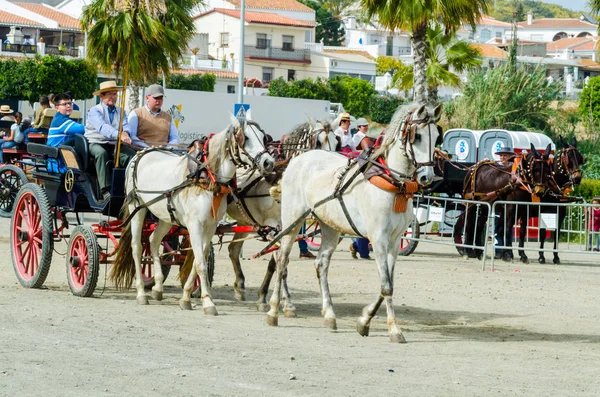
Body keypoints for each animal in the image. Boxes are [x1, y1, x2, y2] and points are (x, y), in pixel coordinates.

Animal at [110, 116, 274, 314]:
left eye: (264, 138)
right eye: (246, 137)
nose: (268, 163)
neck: (207, 177)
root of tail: (141, 152)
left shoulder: (210, 226)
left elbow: (197, 259)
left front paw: (187, 297)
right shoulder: (195, 224)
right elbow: (201, 263)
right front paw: (208, 303)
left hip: (166, 216)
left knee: (153, 241)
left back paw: (157, 287)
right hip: (137, 208)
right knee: (137, 247)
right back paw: (141, 293)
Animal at [264, 103, 442, 342]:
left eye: (437, 137)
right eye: (418, 136)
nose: (427, 177)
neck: (394, 186)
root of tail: (298, 160)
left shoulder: (394, 242)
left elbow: (388, 283)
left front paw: (364, 320)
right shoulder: (378, 239)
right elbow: (387, 286)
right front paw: (394, 329)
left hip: (329, 226)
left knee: (321, 264)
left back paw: (329, 314)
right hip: (293, 220)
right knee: (282, 259)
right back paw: (275, 310)